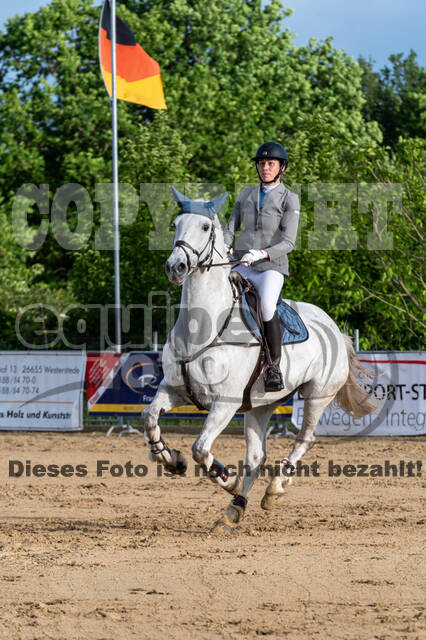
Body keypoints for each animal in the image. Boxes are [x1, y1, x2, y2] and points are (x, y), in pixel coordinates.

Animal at [141, 187, 375, 531]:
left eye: (205, 227)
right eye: (175, 224)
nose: (176, 267)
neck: (203, 325)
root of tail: (333, 326)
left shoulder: (224, 403)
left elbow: (200, 448)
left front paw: (226, 479)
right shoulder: (175, 391)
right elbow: (149, 418)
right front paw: (170, 460)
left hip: (317, 396)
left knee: (305, 438)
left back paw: (274, 488)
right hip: (260, 405)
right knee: (256, 457)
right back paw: (234, 509)